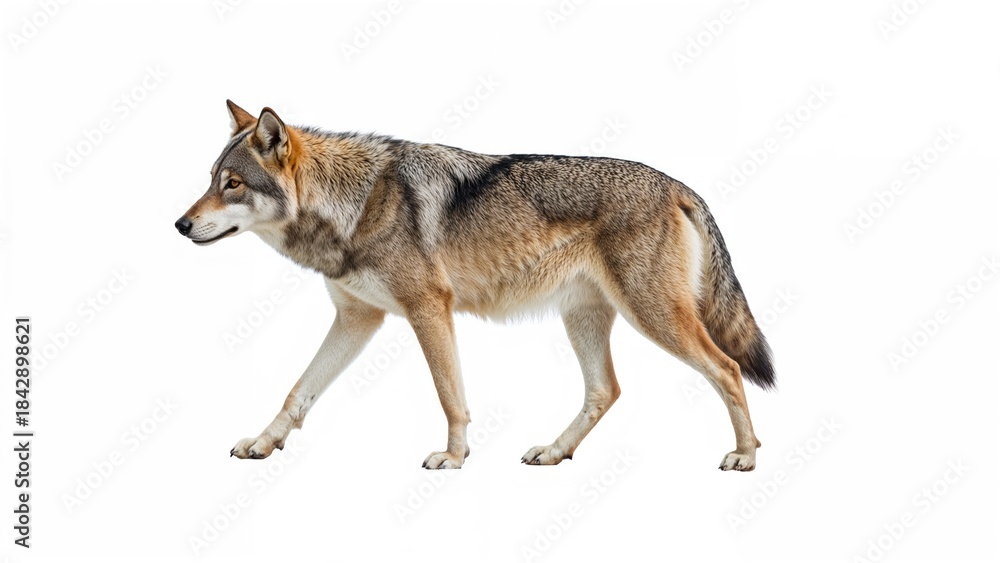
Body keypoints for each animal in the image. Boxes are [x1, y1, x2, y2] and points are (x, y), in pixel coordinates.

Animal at [175, 101, 775, 471]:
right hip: (585, 319)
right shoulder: (357, 318)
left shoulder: (428, 309)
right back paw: (554, 452)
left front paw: (454, 457)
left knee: (725, 369)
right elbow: (298, 391)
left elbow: (450, 396)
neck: (352, 206)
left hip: (653, 317)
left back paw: (746, 455)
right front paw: (264, 442)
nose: (179, 225)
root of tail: (679, 184)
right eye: (210, 181)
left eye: (233, 184)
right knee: (606, 390)